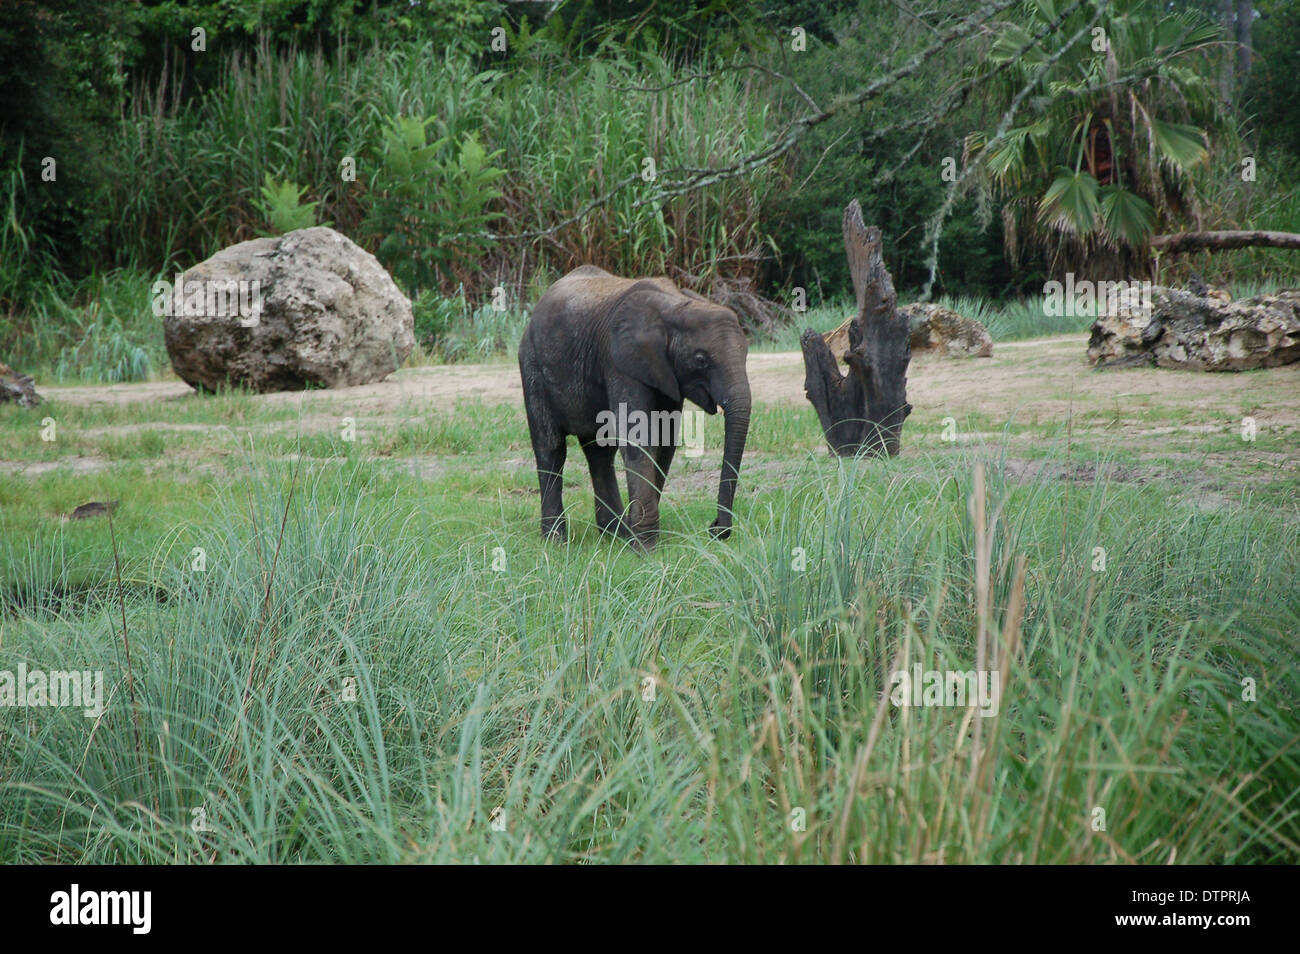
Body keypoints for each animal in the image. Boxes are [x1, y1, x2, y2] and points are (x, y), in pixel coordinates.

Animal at [517, 267, 754, 553]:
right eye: (700, 359)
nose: (716, 528)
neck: (675, 307)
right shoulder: (619, 362)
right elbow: (639, 438)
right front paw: (645, 548)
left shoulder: (665, 372)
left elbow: (664, 442)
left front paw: (635, 538)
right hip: (532, 365)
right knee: (551, 449)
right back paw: (556, 541)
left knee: (599, 453)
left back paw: (614, 533)